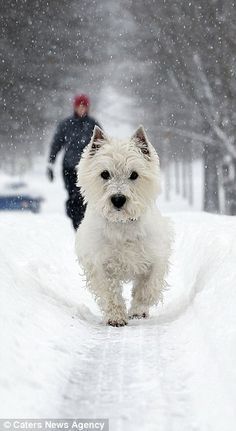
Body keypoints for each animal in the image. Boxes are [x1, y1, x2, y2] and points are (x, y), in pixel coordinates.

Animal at [75, 125, 171, 328]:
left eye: (134, 175)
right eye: (104, 174)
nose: (118, 199)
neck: (122, 224)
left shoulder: (155, 256)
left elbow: (147, 286)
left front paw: (138, 310)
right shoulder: (100, 262)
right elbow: (110, 290)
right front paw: (116, 317)